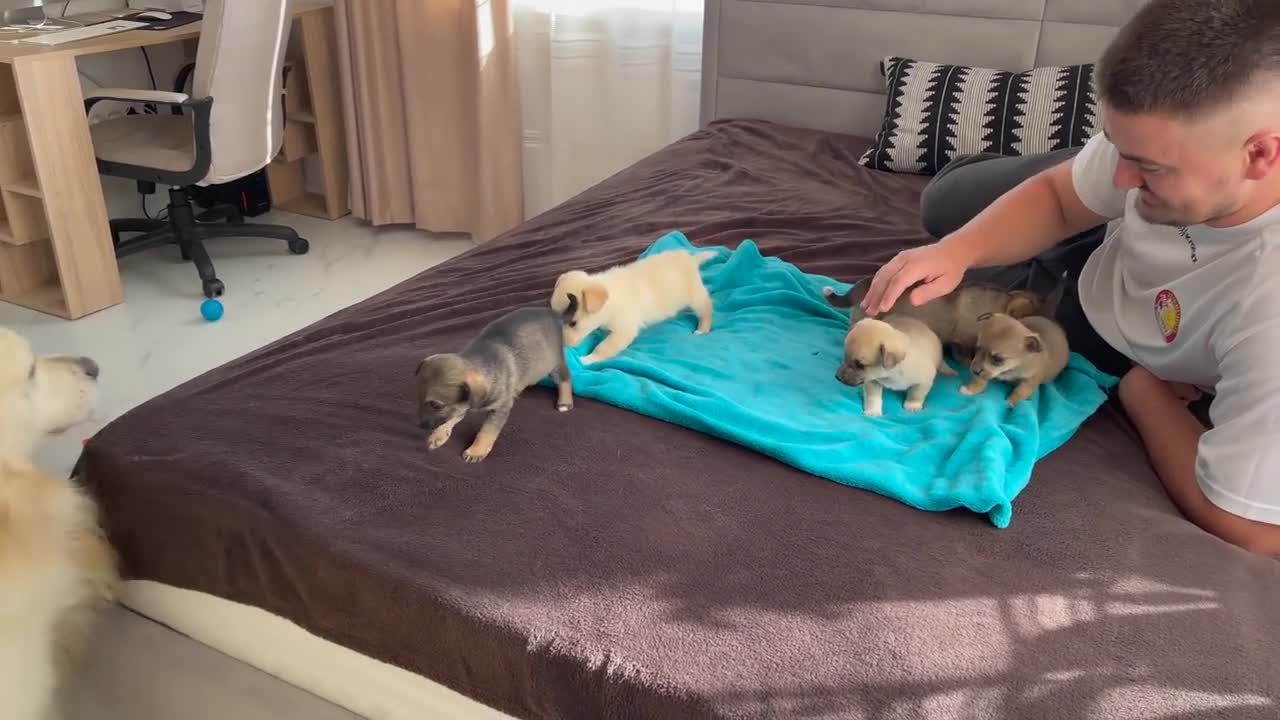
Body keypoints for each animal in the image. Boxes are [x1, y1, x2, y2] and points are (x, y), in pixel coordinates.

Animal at [414, 303, 570, 461]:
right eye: (418, 398)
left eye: (436, 406)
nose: (420, 426)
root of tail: (554, 314)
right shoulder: (461, 404)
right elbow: (452, 417)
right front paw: (439, 435)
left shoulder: (501, 408)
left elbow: (488, 430)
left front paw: (477, 450)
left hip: (554, 363)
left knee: (565, 378)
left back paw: (565, 402)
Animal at [547, 248, 716, 363]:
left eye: (573, 323)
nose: (561, 345)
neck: (610, 298)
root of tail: (691, 259)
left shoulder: (624, 330)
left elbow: (605, 347)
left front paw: (589, 358)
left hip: (695, 296)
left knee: (706, 307)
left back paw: (702, 329)